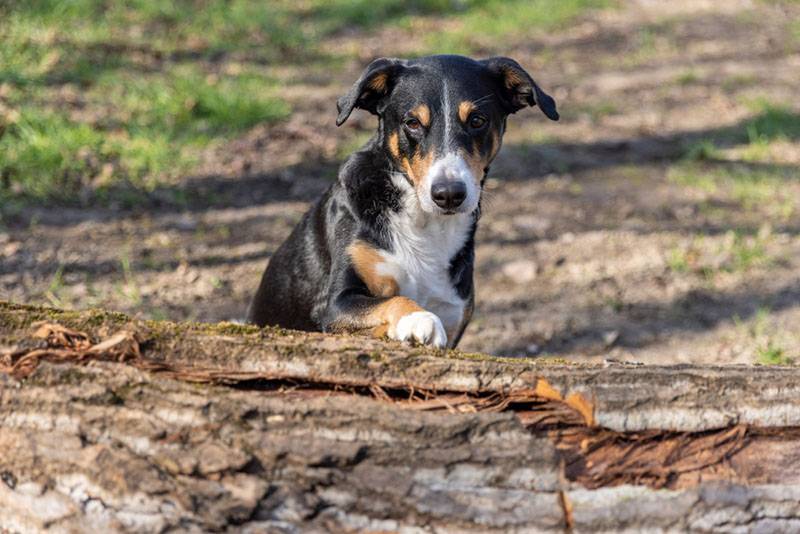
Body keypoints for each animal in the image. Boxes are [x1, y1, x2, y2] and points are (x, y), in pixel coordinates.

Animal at [247, 53, 560, 348]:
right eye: (412, 123)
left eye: (477, 120)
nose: (448, 194)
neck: (423, 224)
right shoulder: (335, 304)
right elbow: (392, 301)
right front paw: (419, 318)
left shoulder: (454, 311)